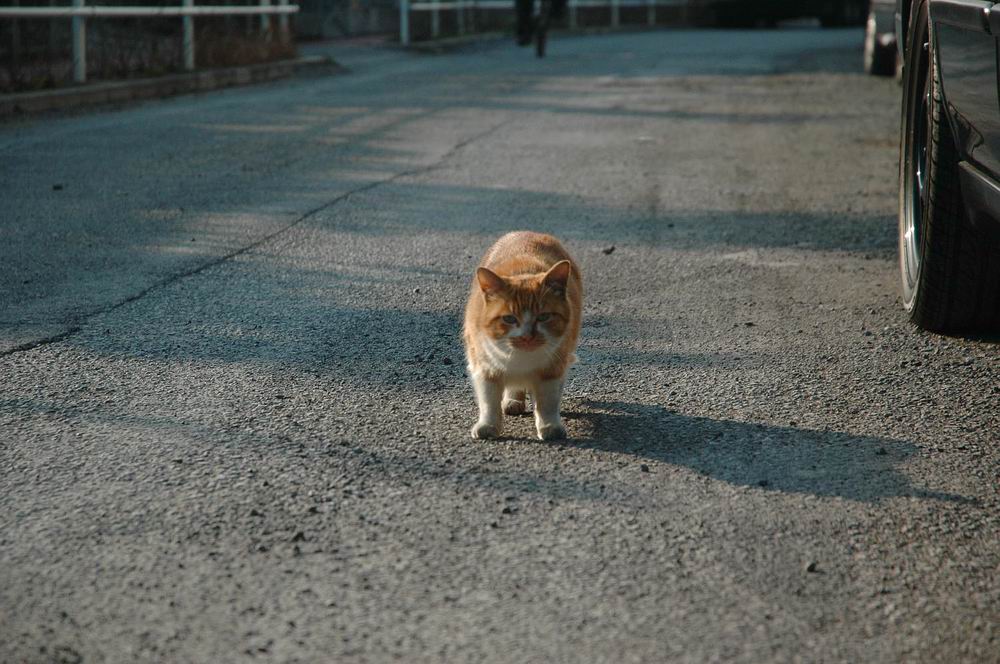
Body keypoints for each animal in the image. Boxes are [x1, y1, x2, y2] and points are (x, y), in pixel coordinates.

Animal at [462, 231, 584, 438]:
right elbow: (489, 401)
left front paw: (549, 426)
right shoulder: (485, 367)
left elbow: (547, 402)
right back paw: (513, 401)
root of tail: (527, 232)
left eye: (544, 317)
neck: (522, 360)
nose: (527, 336)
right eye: (509, 319)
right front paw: (488, 426)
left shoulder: (553, 368)